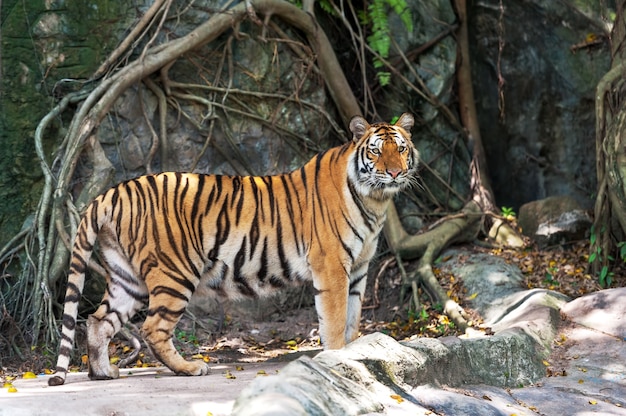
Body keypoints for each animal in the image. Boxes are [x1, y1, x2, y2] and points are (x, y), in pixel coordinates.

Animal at [47, 112, 414, 386]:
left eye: (401, 149)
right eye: (376, 151)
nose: (395, 172)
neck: (374, 199)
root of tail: (111, 193)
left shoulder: (359, 268)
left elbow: (352, 317)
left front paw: (355, 354)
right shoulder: (332, 265)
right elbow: (336, 319)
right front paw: (338, 356)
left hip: (127, 277)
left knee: (98, 320)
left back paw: (103, 372)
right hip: (174, 272)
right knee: (153, 328)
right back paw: (190, 368)